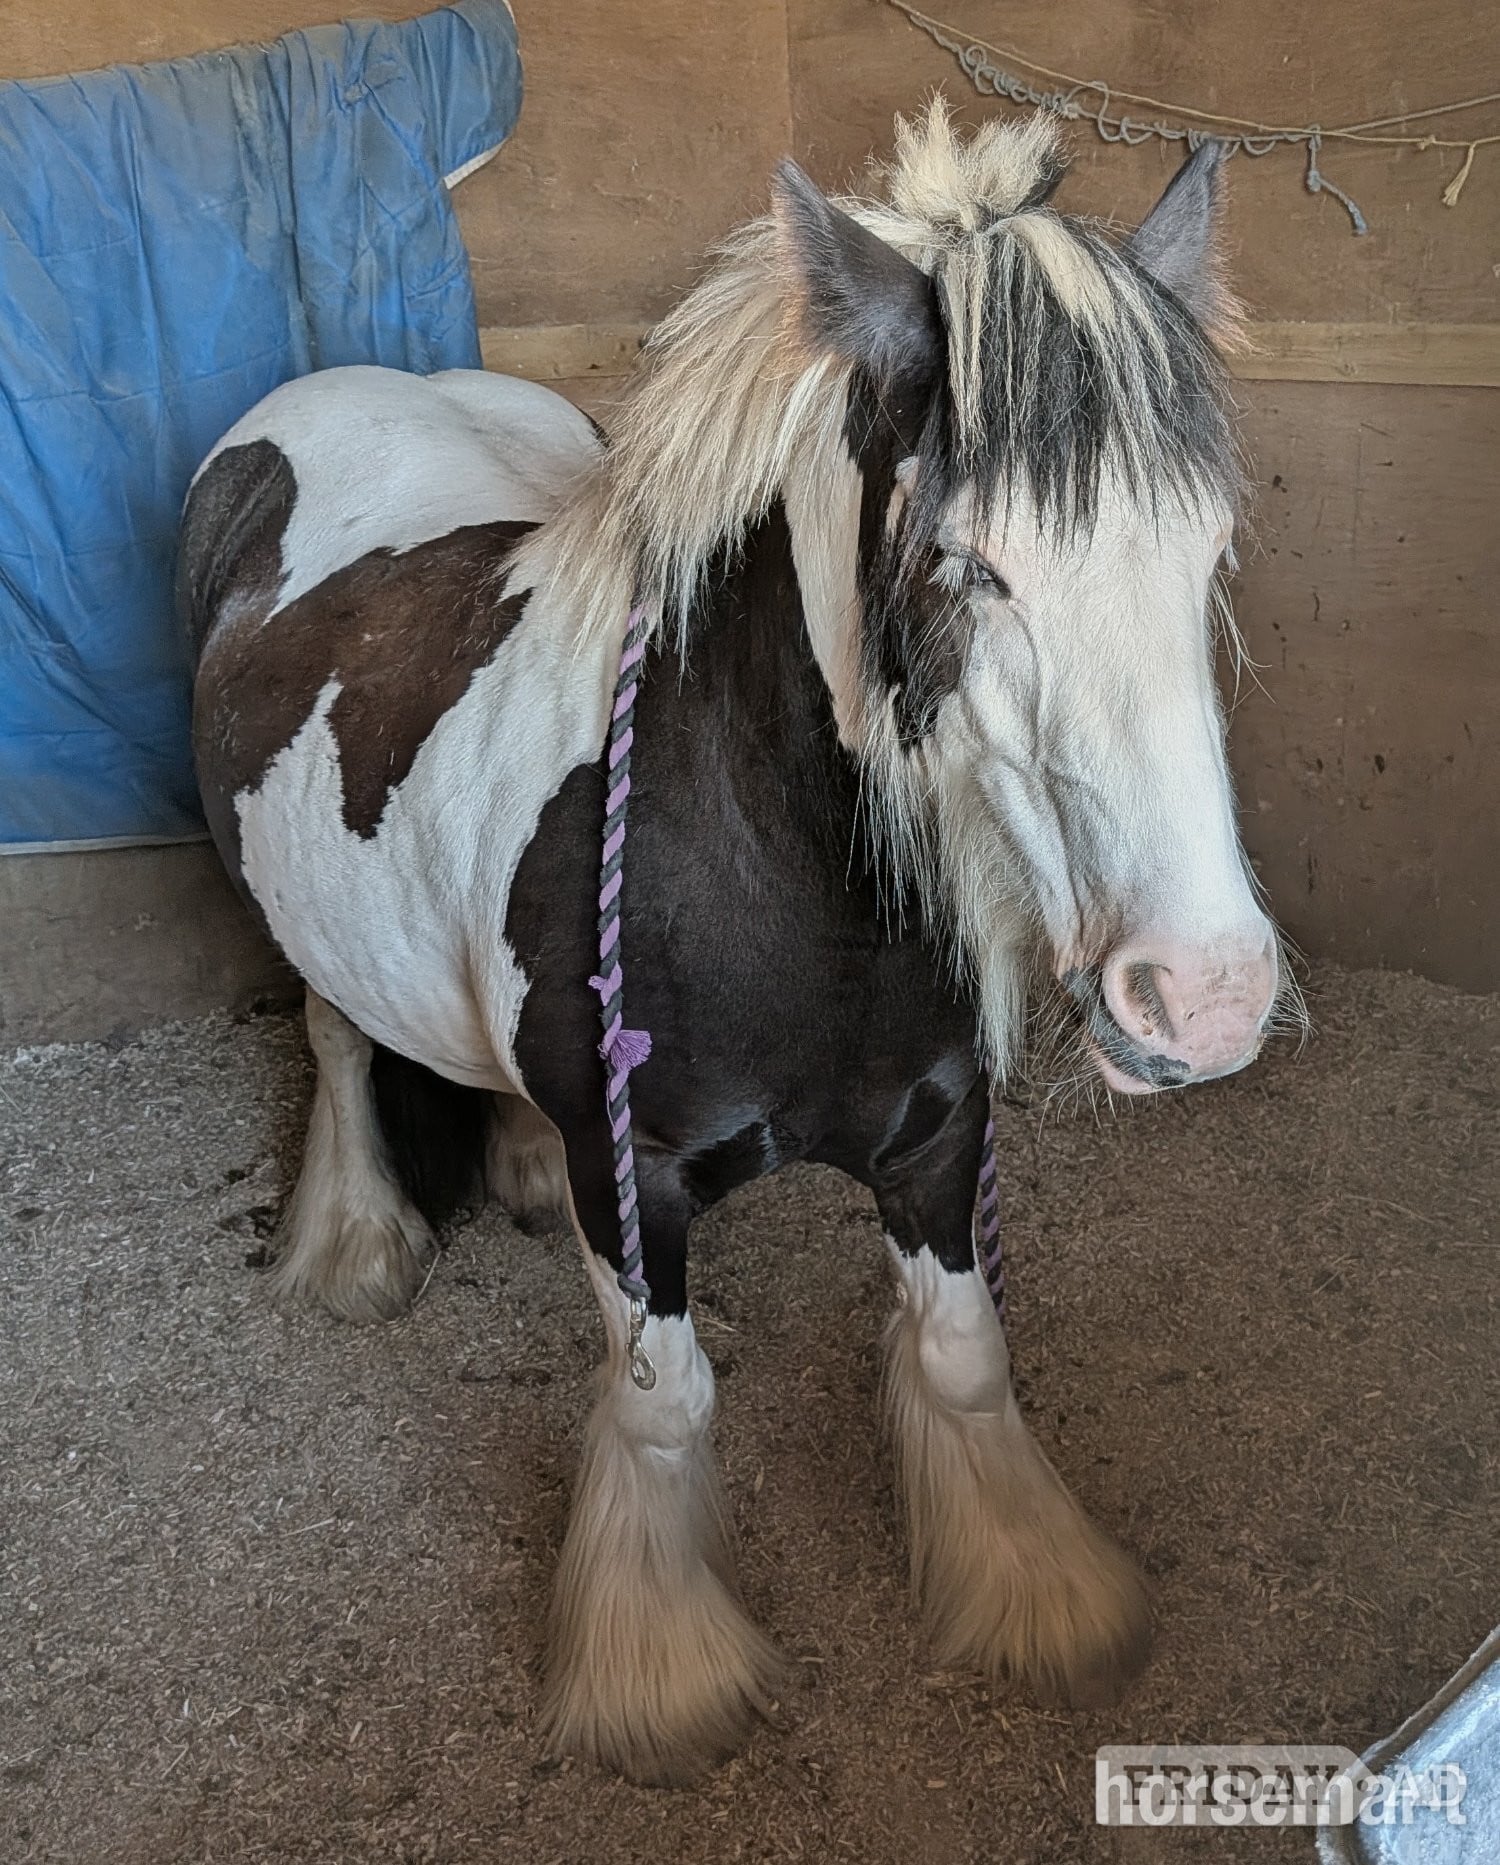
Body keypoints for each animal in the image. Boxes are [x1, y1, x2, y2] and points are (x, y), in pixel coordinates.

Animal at [180, 101, 1292, 1784]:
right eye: (967, 564)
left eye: (1209, 552)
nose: (1207, 998)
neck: (772, 877)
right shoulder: (634, 1188)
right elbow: (665, 1404)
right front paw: (660, 1677)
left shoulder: (937, 1137)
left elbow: (965, 1357)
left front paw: (1038, 1597)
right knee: (330, 1030)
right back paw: (356, 1239)